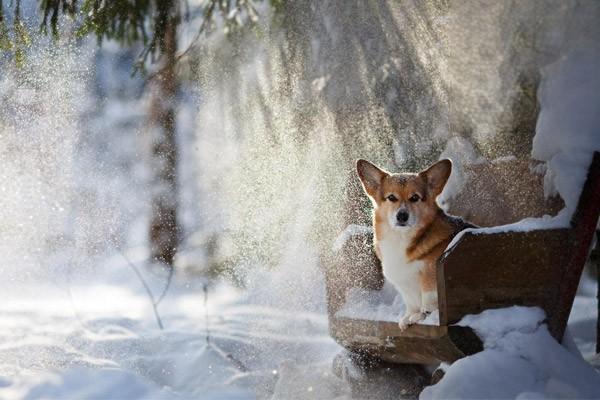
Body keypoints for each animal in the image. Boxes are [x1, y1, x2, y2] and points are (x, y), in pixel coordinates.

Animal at [356, 158, 474, 330]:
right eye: (392, 197)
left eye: (415, 198)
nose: (402, 216)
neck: (401, 237)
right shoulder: (405, 285)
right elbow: (411, 302)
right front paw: (410, 316)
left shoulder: (431, 271)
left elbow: (429, 295)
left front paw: (424, 314)